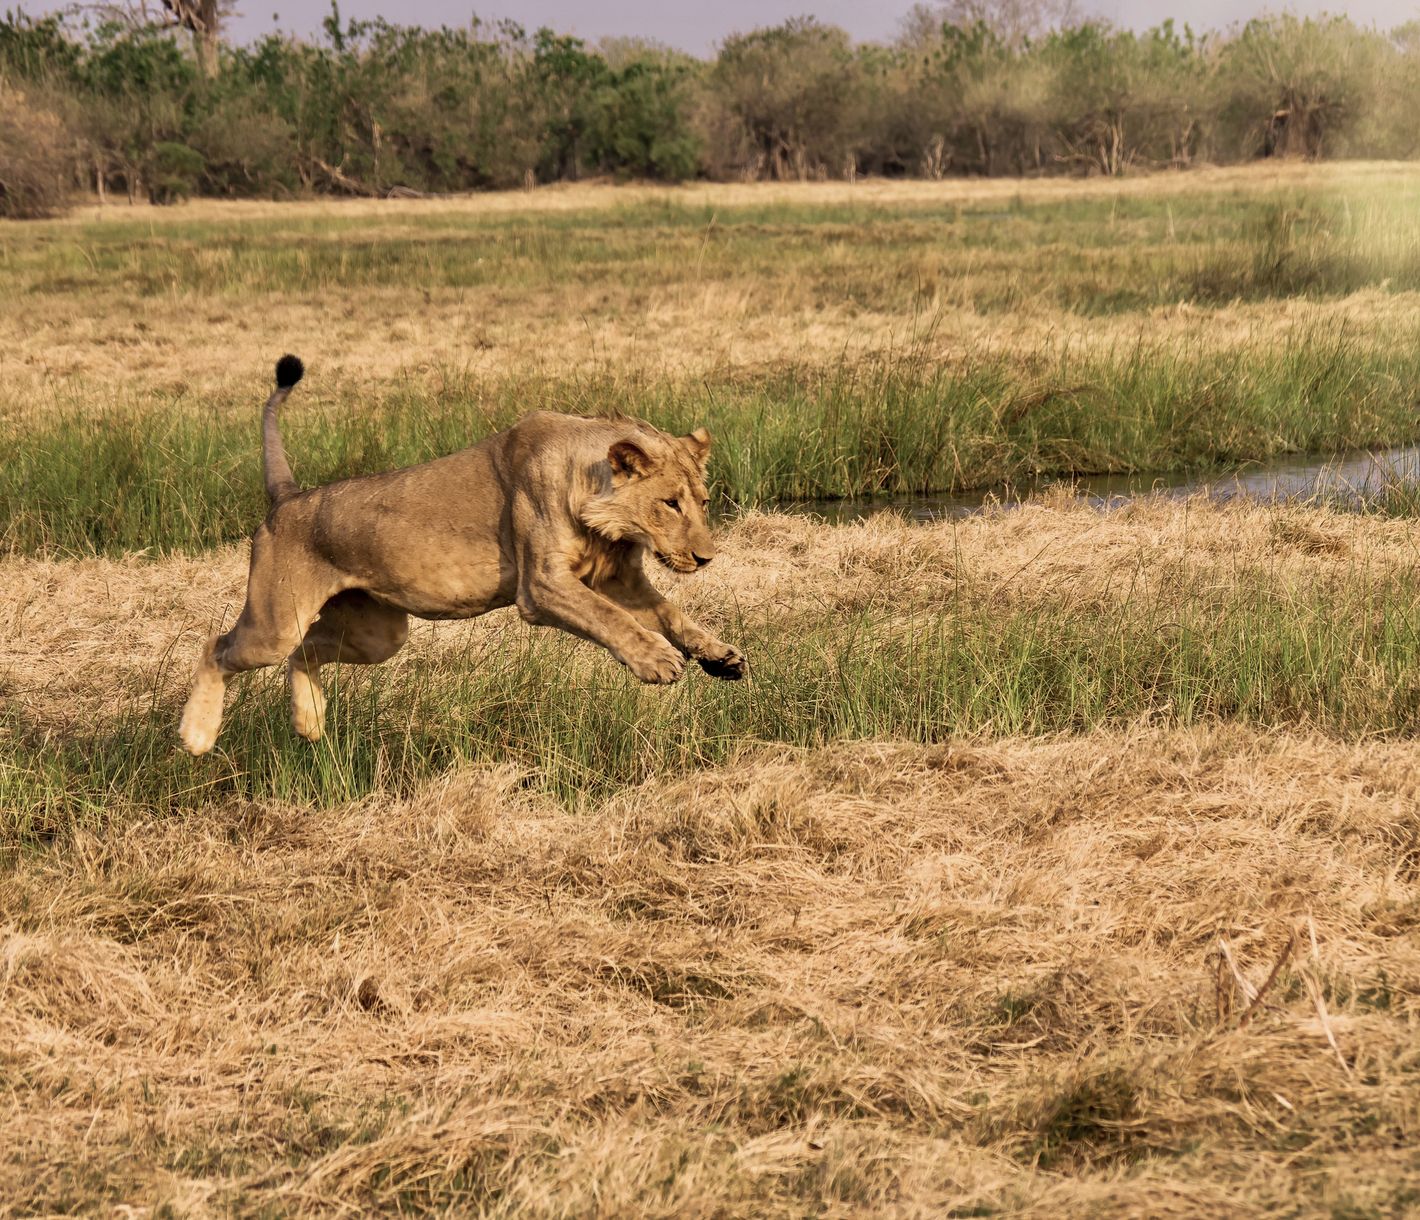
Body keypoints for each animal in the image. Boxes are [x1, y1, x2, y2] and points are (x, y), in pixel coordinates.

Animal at [178, 355, 746, 756]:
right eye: (669, 503)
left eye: (703, 502)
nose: (706, 558)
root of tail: (289, 497)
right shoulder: (542, 587)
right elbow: (612, 619)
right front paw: (657, 661)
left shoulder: (618, 578)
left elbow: (668, 612)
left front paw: (719, 655)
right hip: (275, 621)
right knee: (216, 648)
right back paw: (197, 737)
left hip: (378, 634)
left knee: (304, 652)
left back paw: (310, 723)